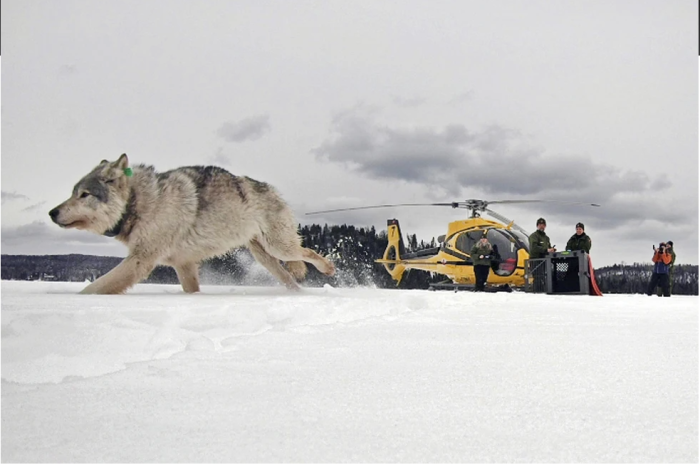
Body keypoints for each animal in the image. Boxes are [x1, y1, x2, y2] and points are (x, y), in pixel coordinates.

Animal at [47, 155, 334, 294]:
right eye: (73, 192)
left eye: (84, 194)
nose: (52, 212)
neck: (138, 202)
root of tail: (271, 188)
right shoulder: (183, 264)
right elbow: (191, 291)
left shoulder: (141, 260)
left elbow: (93, 288)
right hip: (265, 257)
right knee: (290, 277)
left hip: (279, 247)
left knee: (308, 252)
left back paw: (328, 268)